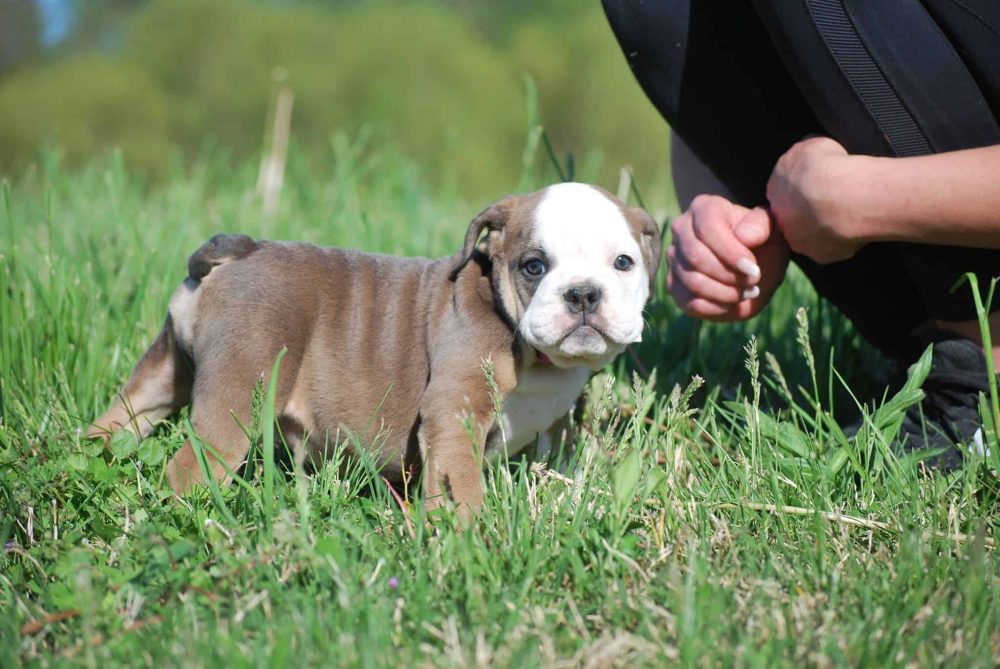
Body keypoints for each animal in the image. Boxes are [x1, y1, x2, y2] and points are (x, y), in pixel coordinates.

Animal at [88, 183, 664, 512]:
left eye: (623, 263)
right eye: (534, 266)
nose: (583, 293)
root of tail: (242, 250)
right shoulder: (454, 413)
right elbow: (460, 482)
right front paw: (471, 538)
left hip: (163, 373)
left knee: (125, 417)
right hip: (237, 392)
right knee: (193, 465)